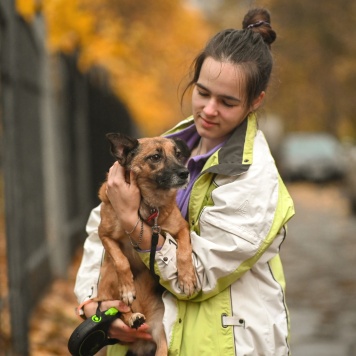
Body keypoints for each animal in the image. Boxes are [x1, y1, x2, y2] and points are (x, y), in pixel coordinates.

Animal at [94, 134, 197, 356]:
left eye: (178, 154)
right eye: (155, 157)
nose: (185, 173)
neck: (148, 206)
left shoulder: (181, 229)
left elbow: (184, 251)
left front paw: (186, 278)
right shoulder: (104, 235)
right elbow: (121, 260)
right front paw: (127, 289)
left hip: (161, 336)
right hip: (108, 276)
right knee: (118, 310)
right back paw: (132, 317)